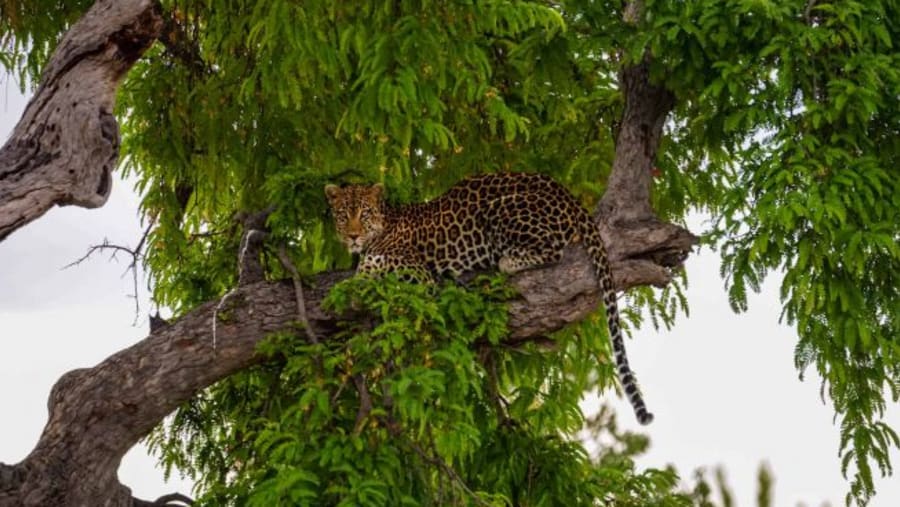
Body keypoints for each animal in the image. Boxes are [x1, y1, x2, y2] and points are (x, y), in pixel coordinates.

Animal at [325, 172, 653, 425]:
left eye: (364, 214)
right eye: (342, 215)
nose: (353, 236)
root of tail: (568, 195)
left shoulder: (418, 272)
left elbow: (375, 266)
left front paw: (361, 272)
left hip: (501, 208)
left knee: (552, 250)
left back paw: (506, 261)